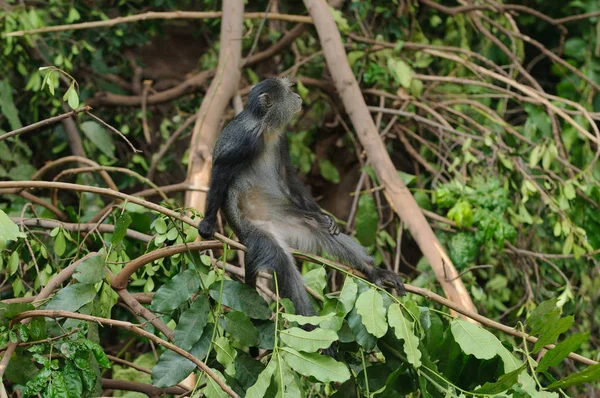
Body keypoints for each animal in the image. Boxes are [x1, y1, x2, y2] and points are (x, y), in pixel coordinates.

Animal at [199, 77, 406, 320]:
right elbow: (220, 171)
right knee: (282, 261)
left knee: (317, 226)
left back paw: (374, 271)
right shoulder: (246, 139)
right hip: (254, 232)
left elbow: (287, 177)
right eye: (288, 92)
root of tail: (269, 225)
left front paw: (325, 215)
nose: (297, 97)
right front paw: (207, 224)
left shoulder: (281, 141)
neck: (266, 127)